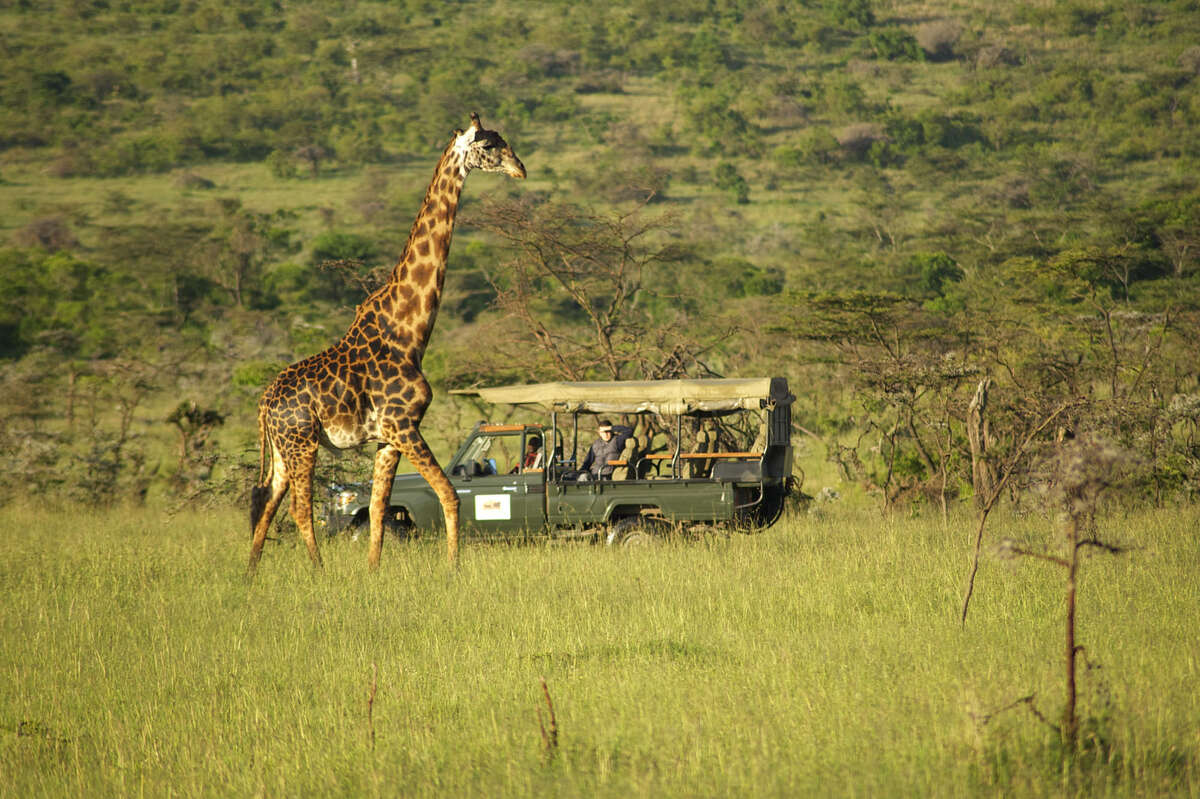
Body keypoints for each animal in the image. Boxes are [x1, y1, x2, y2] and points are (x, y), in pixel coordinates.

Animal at [248, 113, 525, 573]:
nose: (520, 169)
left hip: (285, 449)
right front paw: (453, 567)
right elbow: (449, 494)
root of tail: (265, 403)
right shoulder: (405, 425)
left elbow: (379, 507)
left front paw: (373, 570)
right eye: (488, 146)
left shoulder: (387, 437)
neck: (409, 334)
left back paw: (251, 574)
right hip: (302, 441)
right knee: (299, 508)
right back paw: (319, 571)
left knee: (265, 503)